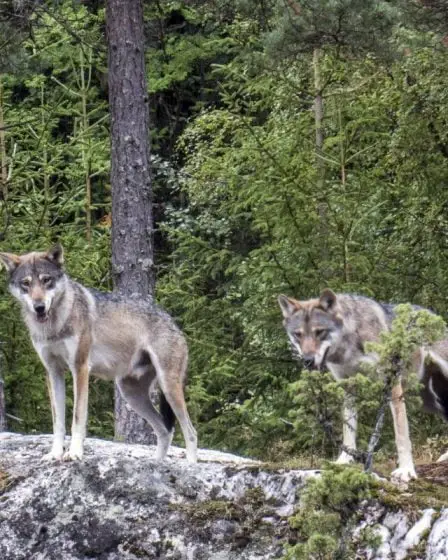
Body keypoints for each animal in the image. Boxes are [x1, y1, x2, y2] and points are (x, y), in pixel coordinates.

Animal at [0, 245, 197, 464]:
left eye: (46, 280)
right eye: (26, 283)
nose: (39, 307)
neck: (55, 325)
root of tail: (174, 323)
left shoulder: (80, 368)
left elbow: (77, 418)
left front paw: (74, 453)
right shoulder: (53, 372)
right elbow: (57, 422)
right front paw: (55, 453)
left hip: (168, 388)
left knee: (190, 432)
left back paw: (190, 465)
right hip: (131, 394)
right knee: (165, 431)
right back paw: (157, 464)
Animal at [278, 288, 448, 482]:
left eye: (320, 332)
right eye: (298, 334)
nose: (307, 360)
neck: (349, 345)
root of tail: (432, 314)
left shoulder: (392, 384)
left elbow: (401, 434)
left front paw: (406, 470)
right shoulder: (348, 387)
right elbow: (348, 430)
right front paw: (344, 461)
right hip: (425, 401)